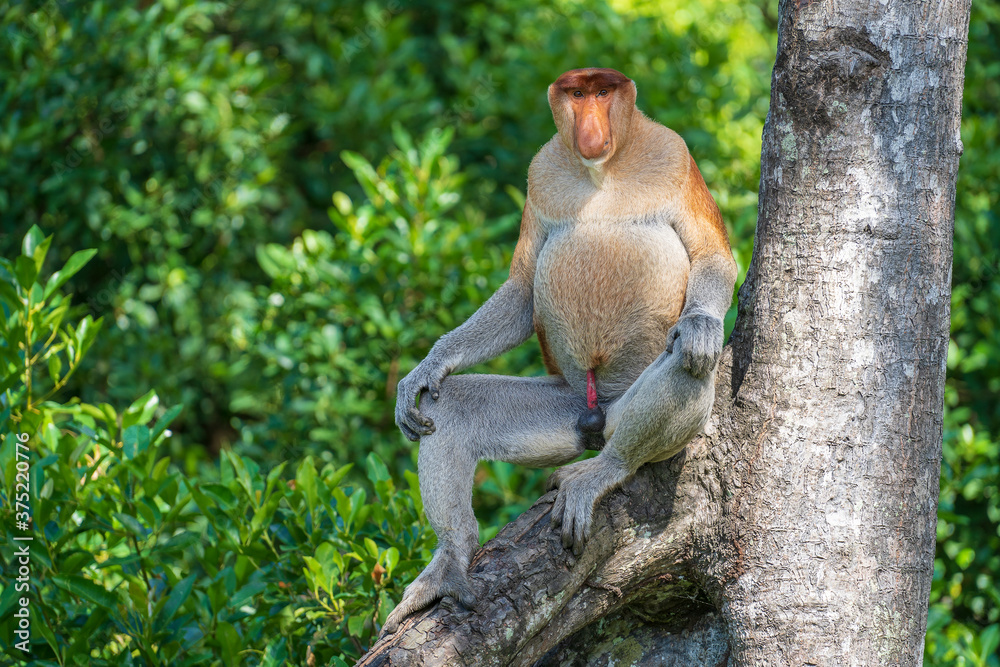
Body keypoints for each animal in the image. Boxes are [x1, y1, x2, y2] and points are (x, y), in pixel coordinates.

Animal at [383, 67, 737, 635]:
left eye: (602, 93)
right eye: (575, 94)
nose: (589, 127)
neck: (601, 173)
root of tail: (598, 410)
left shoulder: (676, 156)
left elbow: (712, 256)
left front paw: (703, 326)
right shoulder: (539, 174)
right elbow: (522, 290)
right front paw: (426, 368)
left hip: (627, 413)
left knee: (683, 370)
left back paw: (603, 470)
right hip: (566, 404)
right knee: (451, 408)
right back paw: (450, 563)